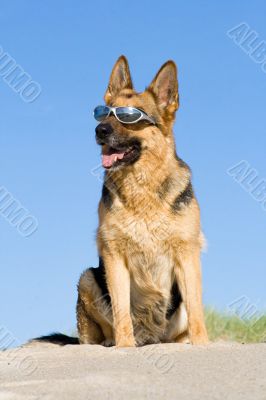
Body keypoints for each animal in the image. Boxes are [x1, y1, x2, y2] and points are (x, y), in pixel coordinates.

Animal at [76, 56, 209, 346]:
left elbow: (196, 307)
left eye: (131, 116)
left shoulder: (187, 254)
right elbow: (121, 311)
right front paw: (125, 346)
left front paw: (202, 343)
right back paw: (112, 342)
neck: (142, 190)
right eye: (105, 113)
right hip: (88, 278)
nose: (99, 130)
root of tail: (152, 337)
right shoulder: (114, 255)